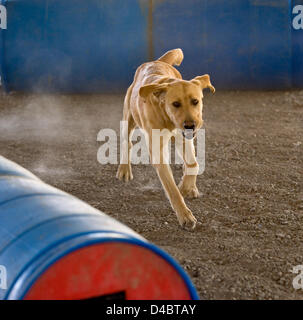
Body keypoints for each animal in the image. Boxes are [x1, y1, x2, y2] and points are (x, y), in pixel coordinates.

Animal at [117, 48, 216, 230]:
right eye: (175, 104)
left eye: (195, 101)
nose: (190, 125)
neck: (166, 116)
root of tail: (156, 61)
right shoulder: (158, 154)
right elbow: (172, 190)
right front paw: (185, 215)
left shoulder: (183, 139)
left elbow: (193, 164)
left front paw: (186, 187)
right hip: (128, 119)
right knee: (126, 143)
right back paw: (124, 170)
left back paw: (192, 187)